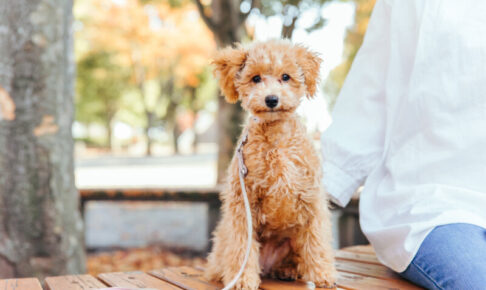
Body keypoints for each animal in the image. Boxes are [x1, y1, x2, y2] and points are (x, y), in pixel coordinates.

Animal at [205, 40, 338, 290]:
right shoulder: (243, 203)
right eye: (256, 78)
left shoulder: (311, 198)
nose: (272, 99)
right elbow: (241, 246)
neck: (277, 140)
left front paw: (323, 273)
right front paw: (243, 280)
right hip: (224, 237)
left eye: (286, 76)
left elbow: (317, 241)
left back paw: (287, 270)